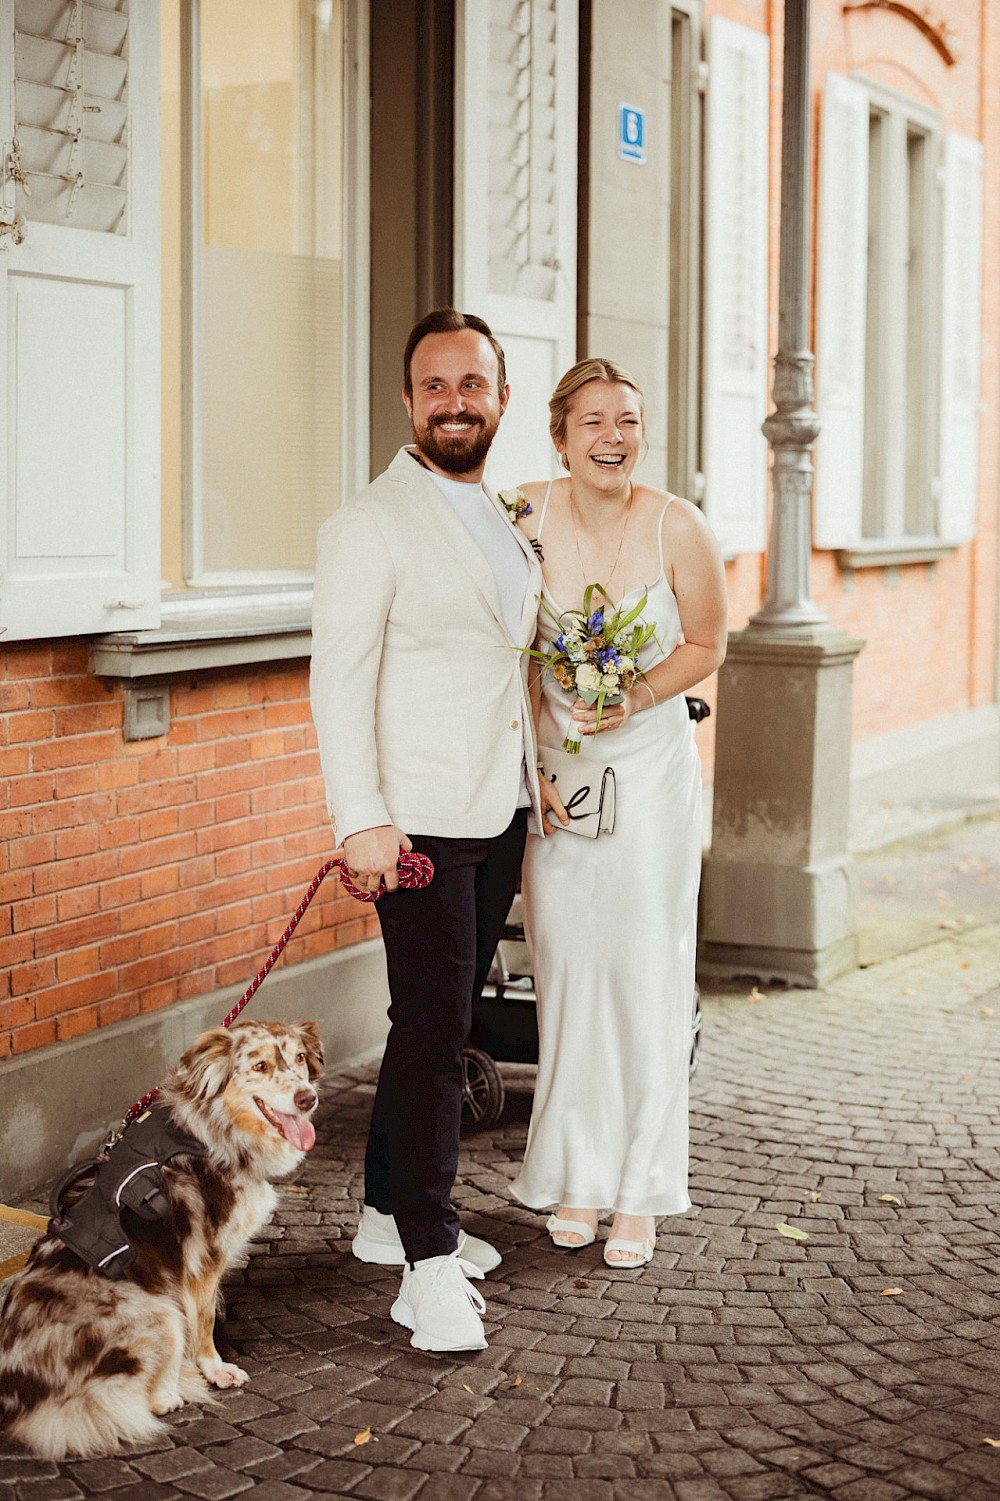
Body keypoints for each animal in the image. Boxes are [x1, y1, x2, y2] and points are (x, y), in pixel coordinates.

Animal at [0, 1020, 321, 1452]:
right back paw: (170, 1394)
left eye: (300, 1057)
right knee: (144, 1398)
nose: (307, 1099)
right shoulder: (204, 1261)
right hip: (162, 1311)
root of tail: (26, 1403)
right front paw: (215, 1368)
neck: (216, 1127)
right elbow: (203, 1322)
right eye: (260, 1065)